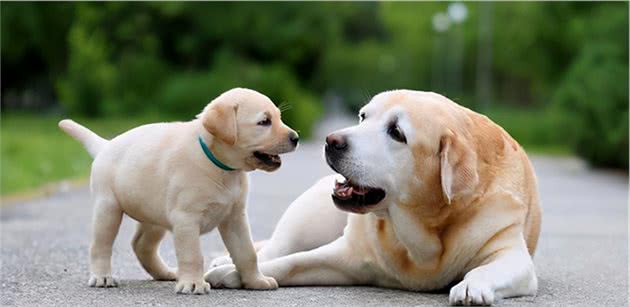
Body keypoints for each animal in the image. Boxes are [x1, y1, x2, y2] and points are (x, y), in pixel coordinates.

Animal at [58, 88, 300, 294]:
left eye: (278, 117)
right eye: (264, 122)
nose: (296, 138)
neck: (220, 166)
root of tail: (105, 145)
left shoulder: (235, 218)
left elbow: (247, 253)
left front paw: (255, 281)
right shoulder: (186, 219)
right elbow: (193, 255)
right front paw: (193, 283)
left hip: (154, 218)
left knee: (141, 245)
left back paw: (165, 273)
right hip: (108, 209)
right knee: (100, 245)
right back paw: (102, 277)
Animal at [207, 89, 544, 306]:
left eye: (397, 132)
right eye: (363, 116)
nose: (331, 141)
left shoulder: (513, 257)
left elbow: (487, 268)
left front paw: (472, 285)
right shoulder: (345, 255)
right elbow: (289, 263)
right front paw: (235, 274)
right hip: (307, 217)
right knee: (276, 248)